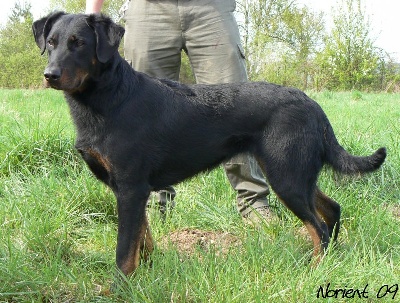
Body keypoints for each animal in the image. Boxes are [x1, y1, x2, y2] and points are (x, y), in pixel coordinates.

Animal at [32, 12, 386, 278]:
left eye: (79, 44)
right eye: (51, 43)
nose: (50, 74)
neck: (111, 96)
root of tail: (312, 104)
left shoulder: (130, 189)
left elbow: (123, 251)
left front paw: (120, 288)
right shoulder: (134, 191)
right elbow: (142, 242)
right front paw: (146, 277)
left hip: (286, 177)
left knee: (318, 228)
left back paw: (315, 271)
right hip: (297, 174)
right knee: (331, 210)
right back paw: (335, 257)